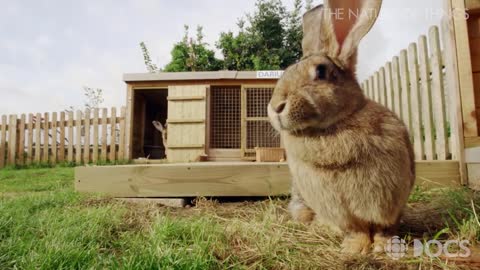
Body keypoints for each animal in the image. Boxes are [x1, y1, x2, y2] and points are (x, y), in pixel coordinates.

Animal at [268, 0, 414, 254]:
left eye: (321, 71)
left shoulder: (390, 202)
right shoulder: (339, 210)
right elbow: (356, 229)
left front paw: (384, 246)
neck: (333, 126)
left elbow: (384, 227)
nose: (276, 107)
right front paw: (354, 248)